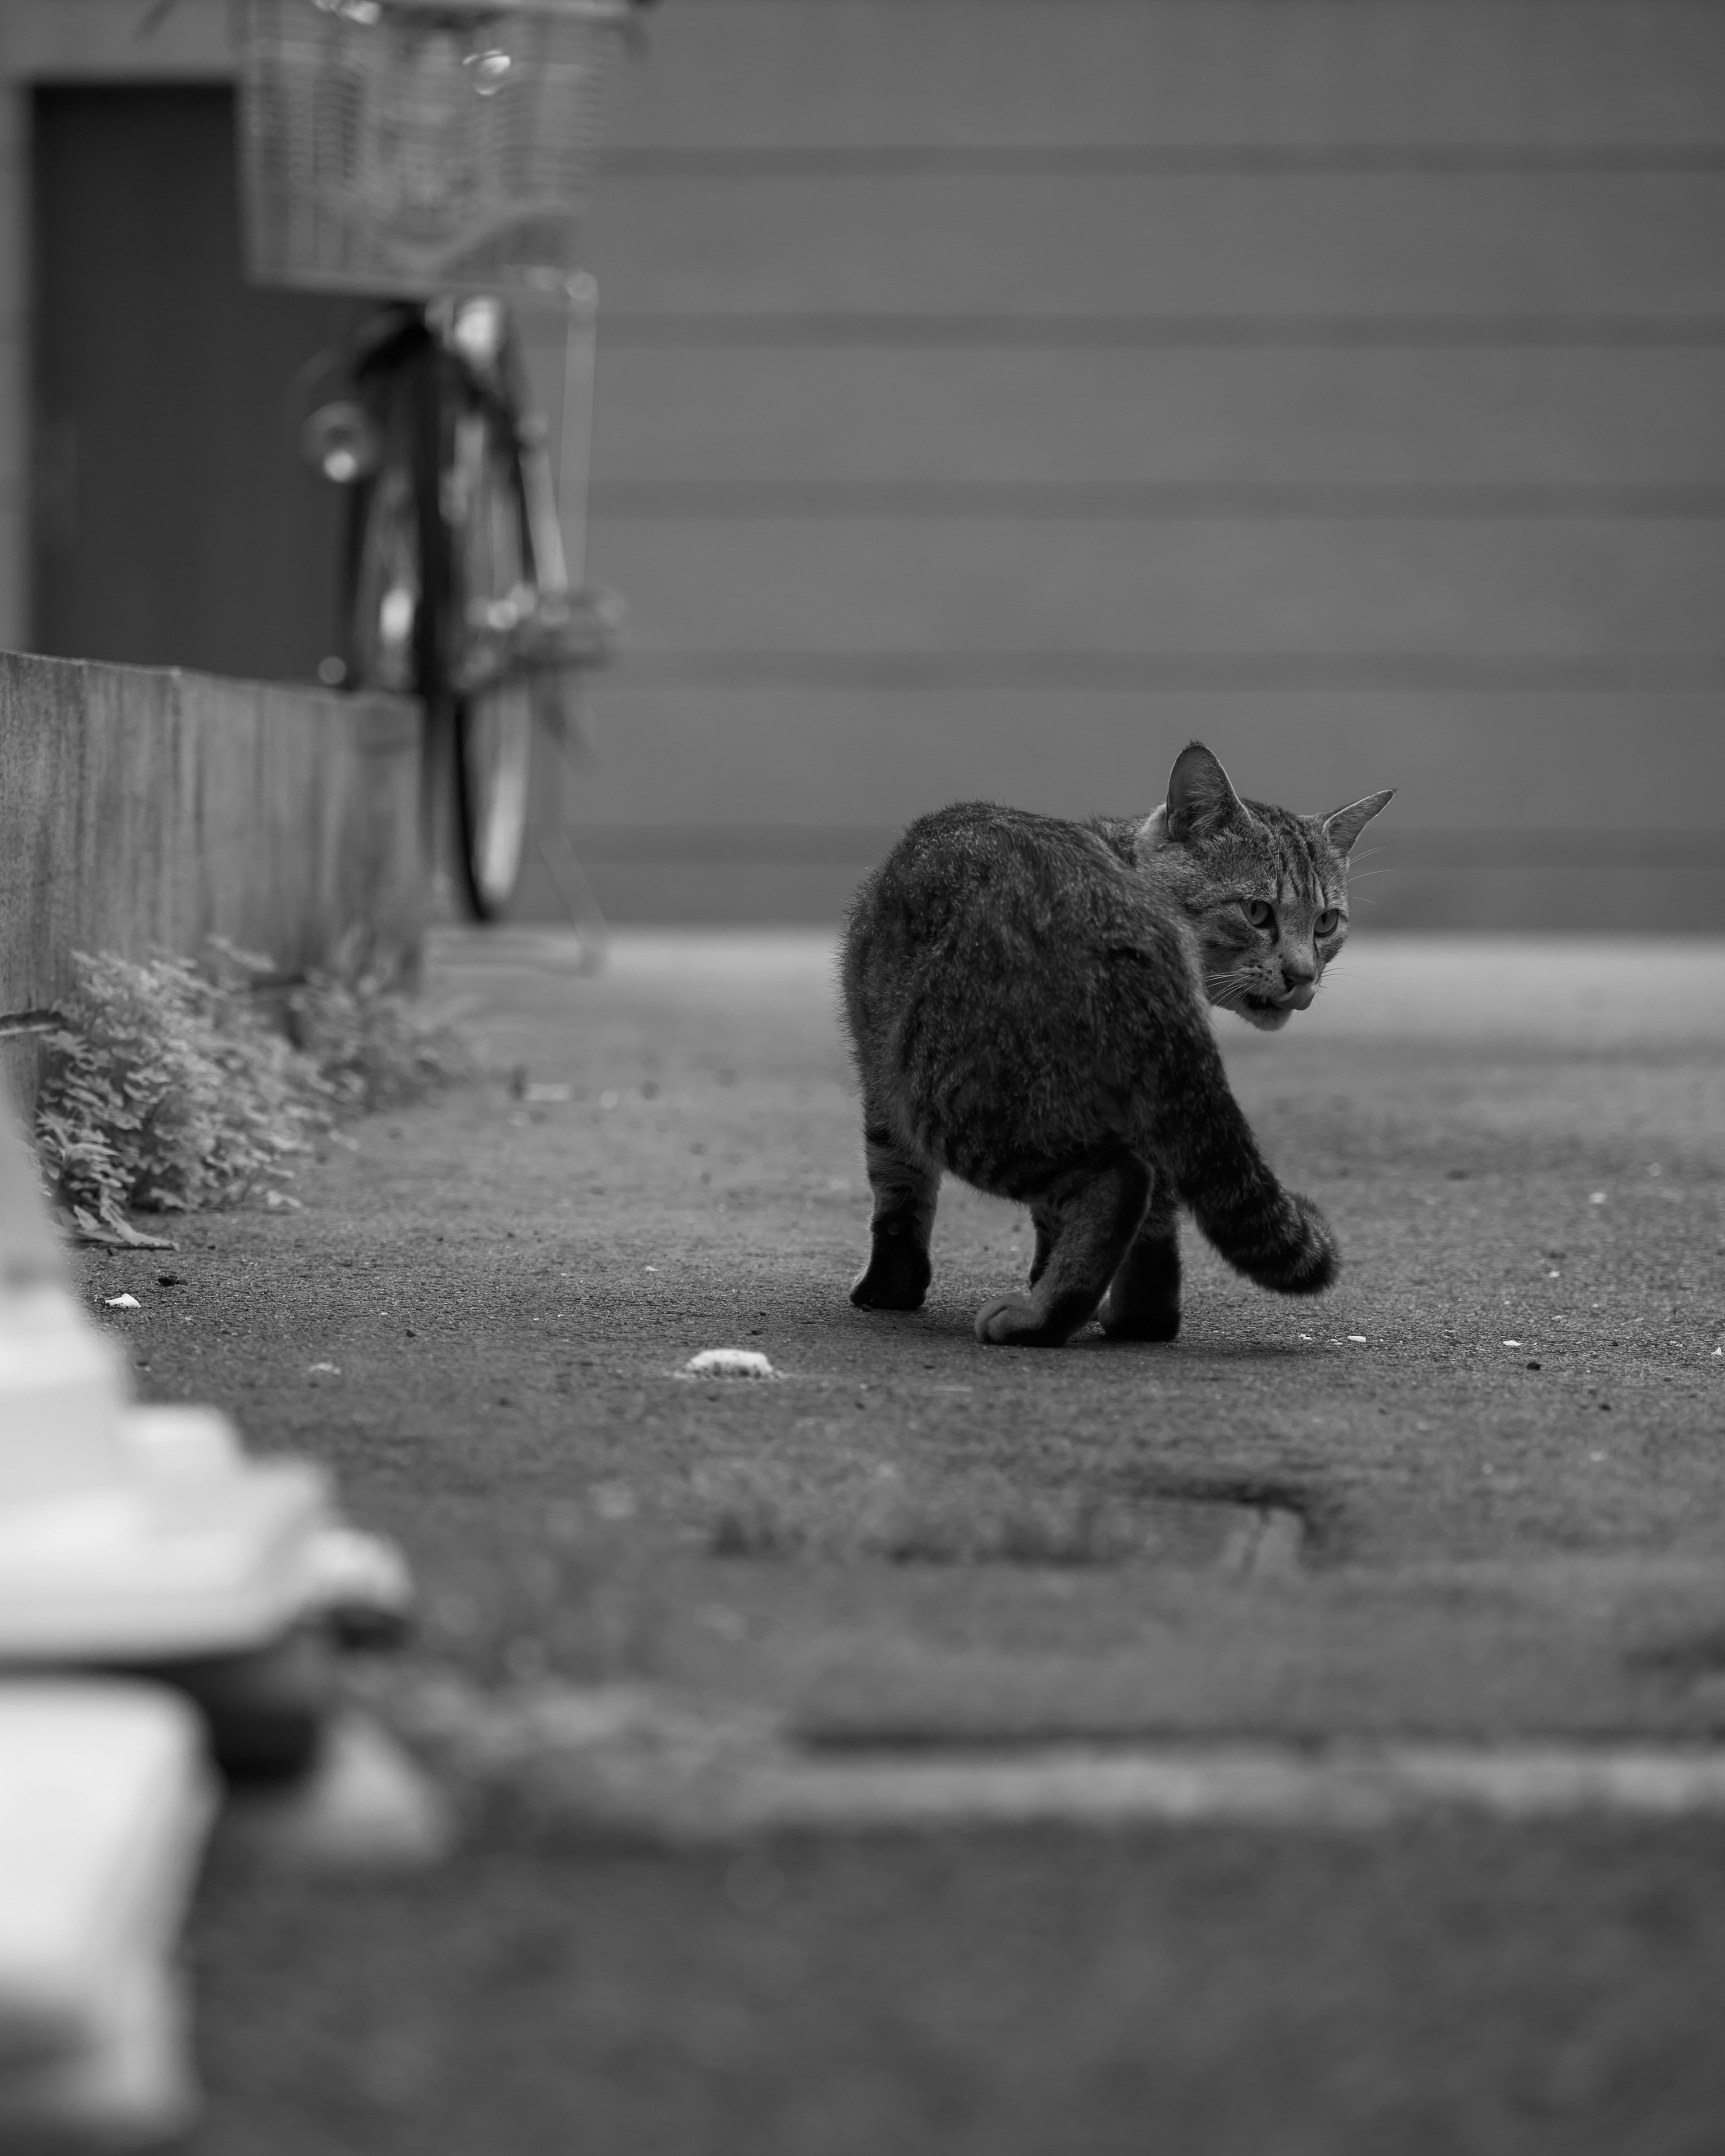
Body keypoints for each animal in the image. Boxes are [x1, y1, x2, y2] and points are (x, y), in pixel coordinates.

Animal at [841, 746, 1397, 1345]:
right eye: (1256, 912)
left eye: (1325, 923)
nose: (1302, 975)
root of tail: (1121, 917)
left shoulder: (879, 1075)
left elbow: (898, 1192)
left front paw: (889, 1290)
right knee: (1151, 1242)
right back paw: (1123, 1318)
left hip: (946, 1090)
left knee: (1117, 1183)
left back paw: (1036, 1320)